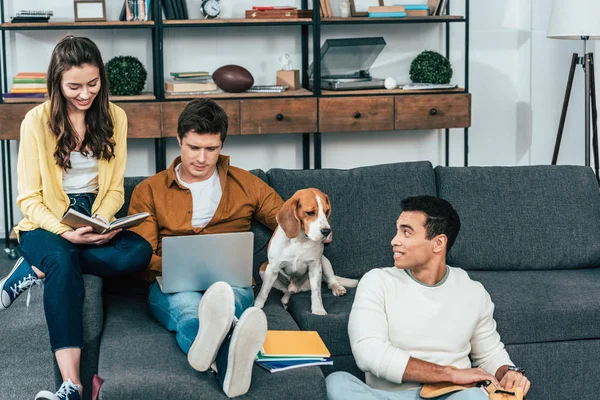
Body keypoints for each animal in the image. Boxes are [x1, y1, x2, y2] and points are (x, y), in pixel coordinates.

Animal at [252, 188, 356, 316]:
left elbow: (316, 293)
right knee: (287, 290)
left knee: (330, 279)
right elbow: (264, 291)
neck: (300, 239)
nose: (327, 231)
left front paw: (318, 310)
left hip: (324, 261)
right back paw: (285, 299)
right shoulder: (273, 268)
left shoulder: (315, 266)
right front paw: (256, 306)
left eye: (326, 211)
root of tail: (297, 288)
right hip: (263, 269)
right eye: (310, 212)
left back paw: (337, 287)